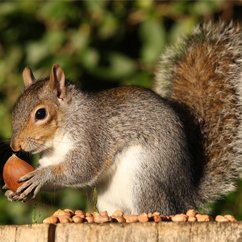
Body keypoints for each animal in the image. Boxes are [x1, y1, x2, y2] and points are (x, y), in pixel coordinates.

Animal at [3, 21, 242, 215]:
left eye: (40, 114)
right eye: (14, 109)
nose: (15, 146)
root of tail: (185, 200)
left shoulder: (93, 136)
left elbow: (81, 169)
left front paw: (41, 177)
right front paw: (12, 191)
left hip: (144, 180)